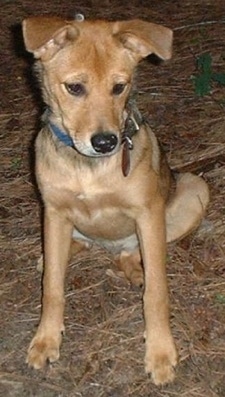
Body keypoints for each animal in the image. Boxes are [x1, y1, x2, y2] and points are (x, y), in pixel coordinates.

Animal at [22, 16, 209, 384]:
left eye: (119, 87)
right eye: (74, 88)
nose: (106, 142)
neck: (89, 168)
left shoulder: (148, 213)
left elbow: (157, 293)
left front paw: (160, 353)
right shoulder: (54, 211)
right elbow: (52, 287)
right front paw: (46, 339)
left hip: (194, 190)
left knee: (130, 255)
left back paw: (136, 271)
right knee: (77, 250)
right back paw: (58, 255)